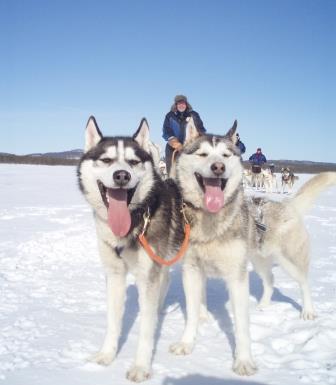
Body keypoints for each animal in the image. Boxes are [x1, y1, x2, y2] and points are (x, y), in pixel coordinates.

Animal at [77, 115, 185, 380]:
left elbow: (145, 330)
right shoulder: (115, 275)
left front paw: (140, 367)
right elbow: (113, 321)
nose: (122, 176)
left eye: (134, 162)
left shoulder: (147, 277)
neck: (135, 221)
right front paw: (106, 356)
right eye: (106, 160)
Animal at [169, 118, 336, 376]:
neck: (211, 222)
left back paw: (308, 311)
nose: (218, 167)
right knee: (270, 281)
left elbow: (242, 327)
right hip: (258, 260)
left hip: (289, 260)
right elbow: (193, 313)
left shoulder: (236, 278)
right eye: (203, 154)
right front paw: (186, 344)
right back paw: (264, 305)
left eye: (226, 155)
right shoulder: (192, 271)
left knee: (304, 282)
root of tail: (287, 205)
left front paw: (244, 361)